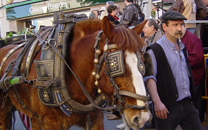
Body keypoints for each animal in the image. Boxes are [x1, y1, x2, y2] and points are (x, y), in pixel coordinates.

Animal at [0, 16, 150, 129]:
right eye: (115, 64)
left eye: (142, 62)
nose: (142, 117)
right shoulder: (50, 122)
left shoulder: (95, 118)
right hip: (5, 109)